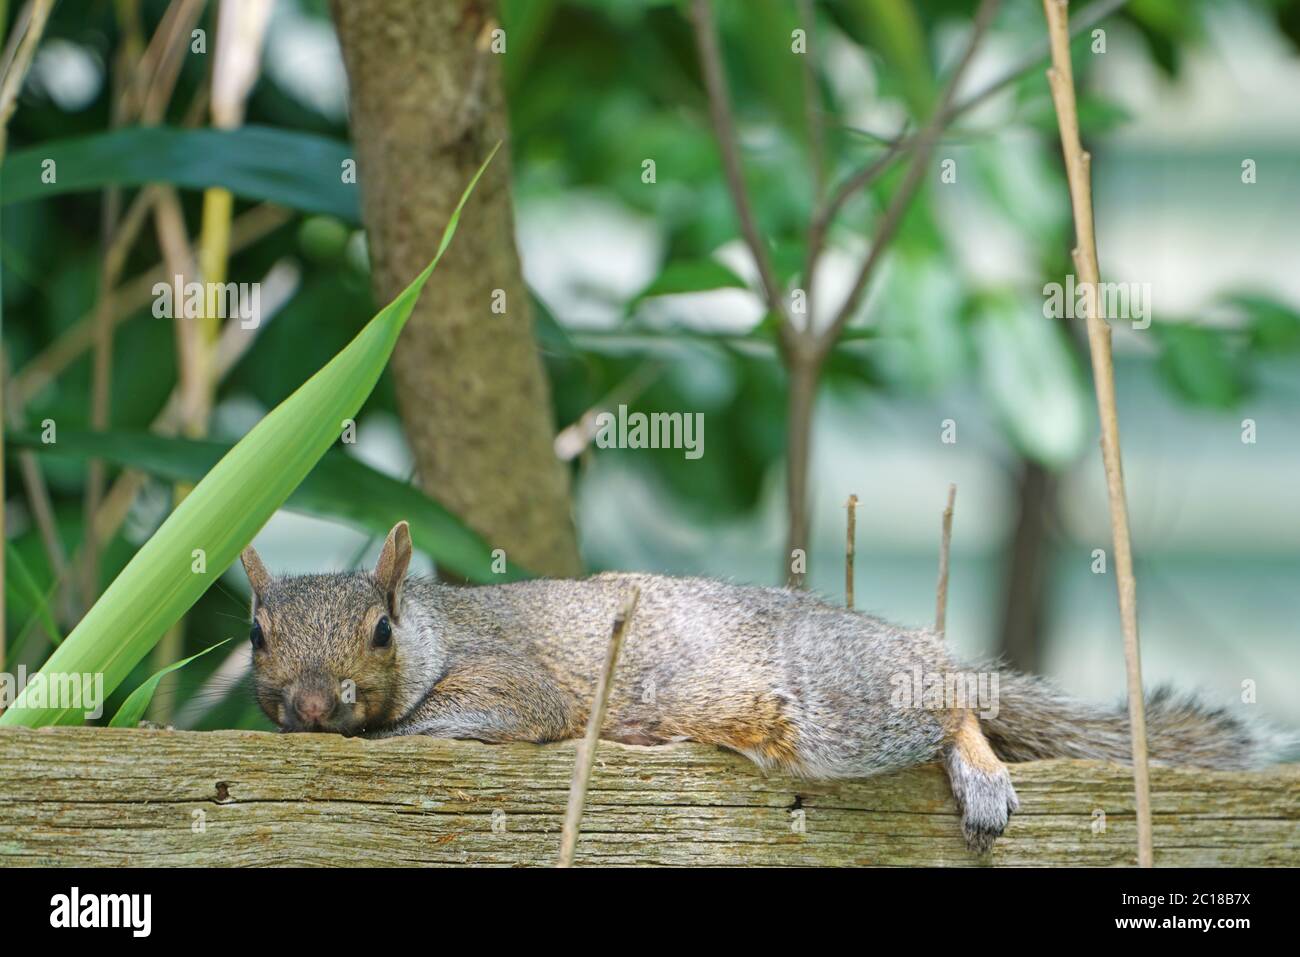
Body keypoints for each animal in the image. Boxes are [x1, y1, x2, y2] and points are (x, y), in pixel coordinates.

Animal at [239, 520, 1284, 847]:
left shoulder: (510, 674)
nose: (310, 705)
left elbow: (499, 710)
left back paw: (978, 766)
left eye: (380, 631)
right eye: (255, 635)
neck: (438, 625)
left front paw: (386, 732)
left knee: (948, 701)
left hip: (825, 705)